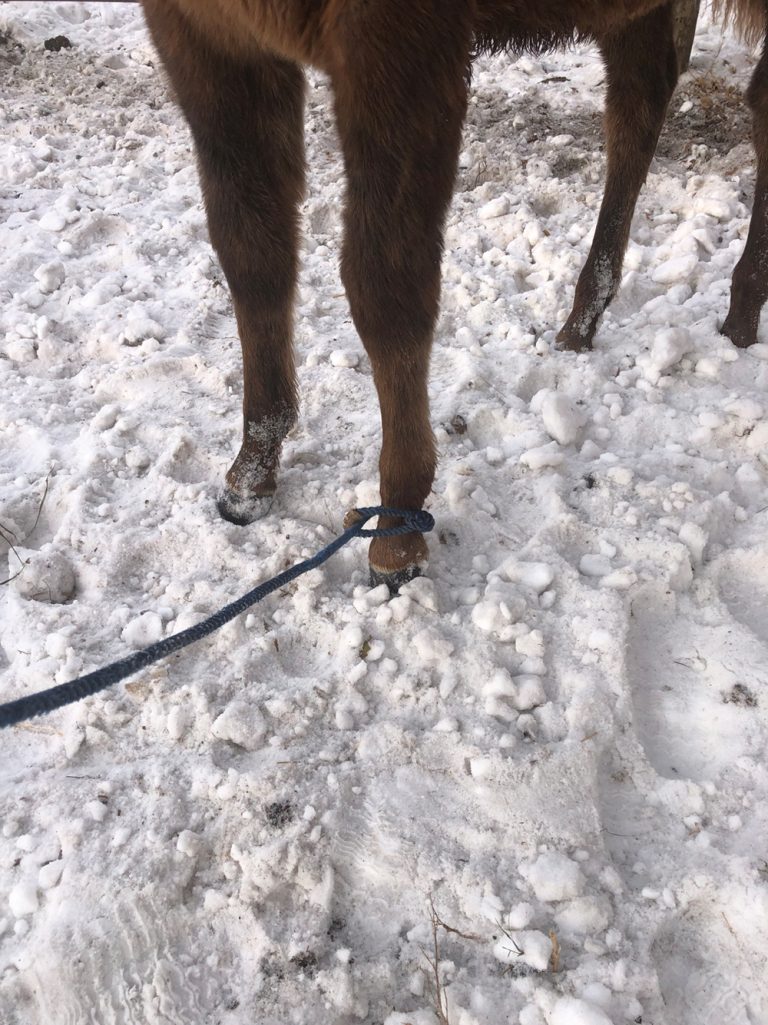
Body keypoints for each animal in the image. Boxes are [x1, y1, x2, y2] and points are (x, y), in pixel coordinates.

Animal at [138, 0, 767, 589]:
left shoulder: (401, 49)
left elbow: (387, 289)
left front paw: (397, 532)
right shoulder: (207, 39)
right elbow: (252, 252)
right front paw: (252, 470)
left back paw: (741, 312)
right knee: (640, 100)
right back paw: (586, 319)